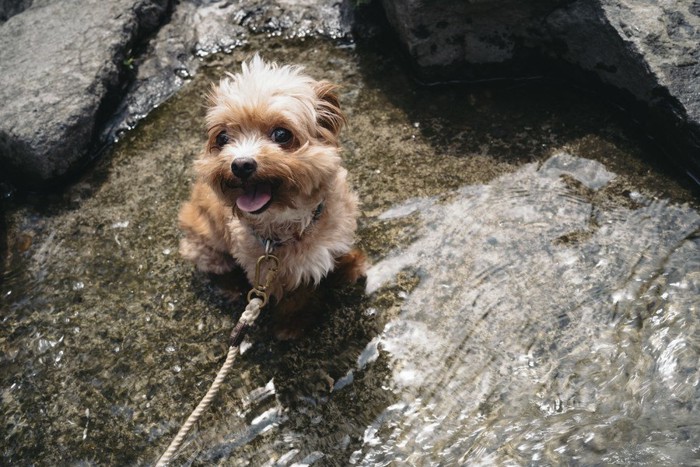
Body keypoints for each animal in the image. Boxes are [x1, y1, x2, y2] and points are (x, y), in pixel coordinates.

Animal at [178, 55, 366, 340]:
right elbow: (294, 297)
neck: (295, 226)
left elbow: (337, 255)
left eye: (281, 134)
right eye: (222, 137)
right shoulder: (269, 273)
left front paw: (350, 266)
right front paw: (291, 324)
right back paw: (232, 288)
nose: (240, 165)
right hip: (205, 245)